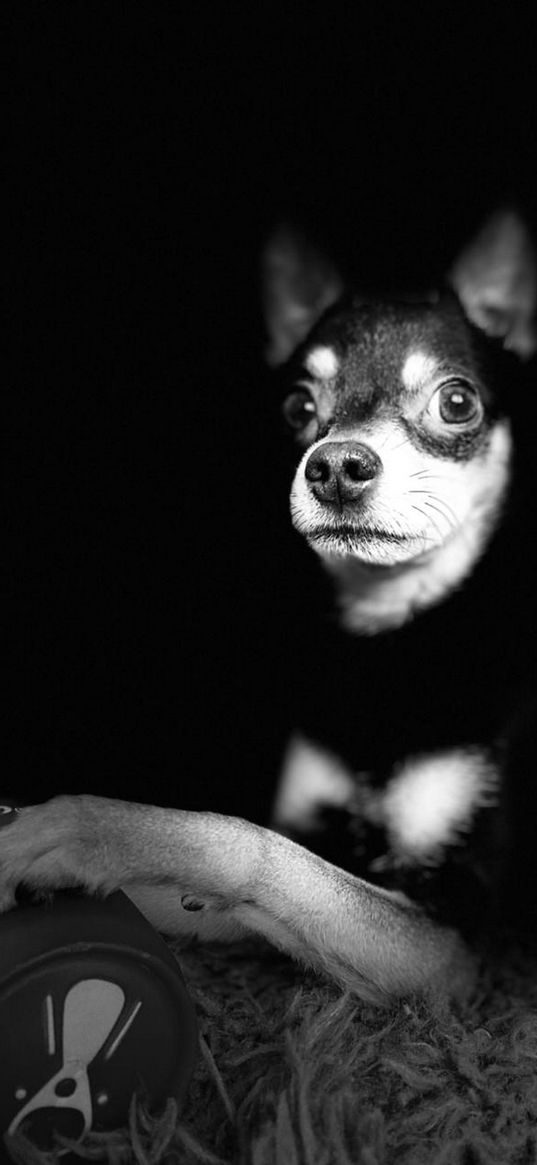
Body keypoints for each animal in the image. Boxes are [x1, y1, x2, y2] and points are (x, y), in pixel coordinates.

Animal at [0, 207, 533, 1001]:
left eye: (457, 401)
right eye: (298, 406)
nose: (335, 465)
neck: (389, 638)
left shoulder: (456, 952)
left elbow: (249, 844)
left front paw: (74, 830)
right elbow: (217, 892)